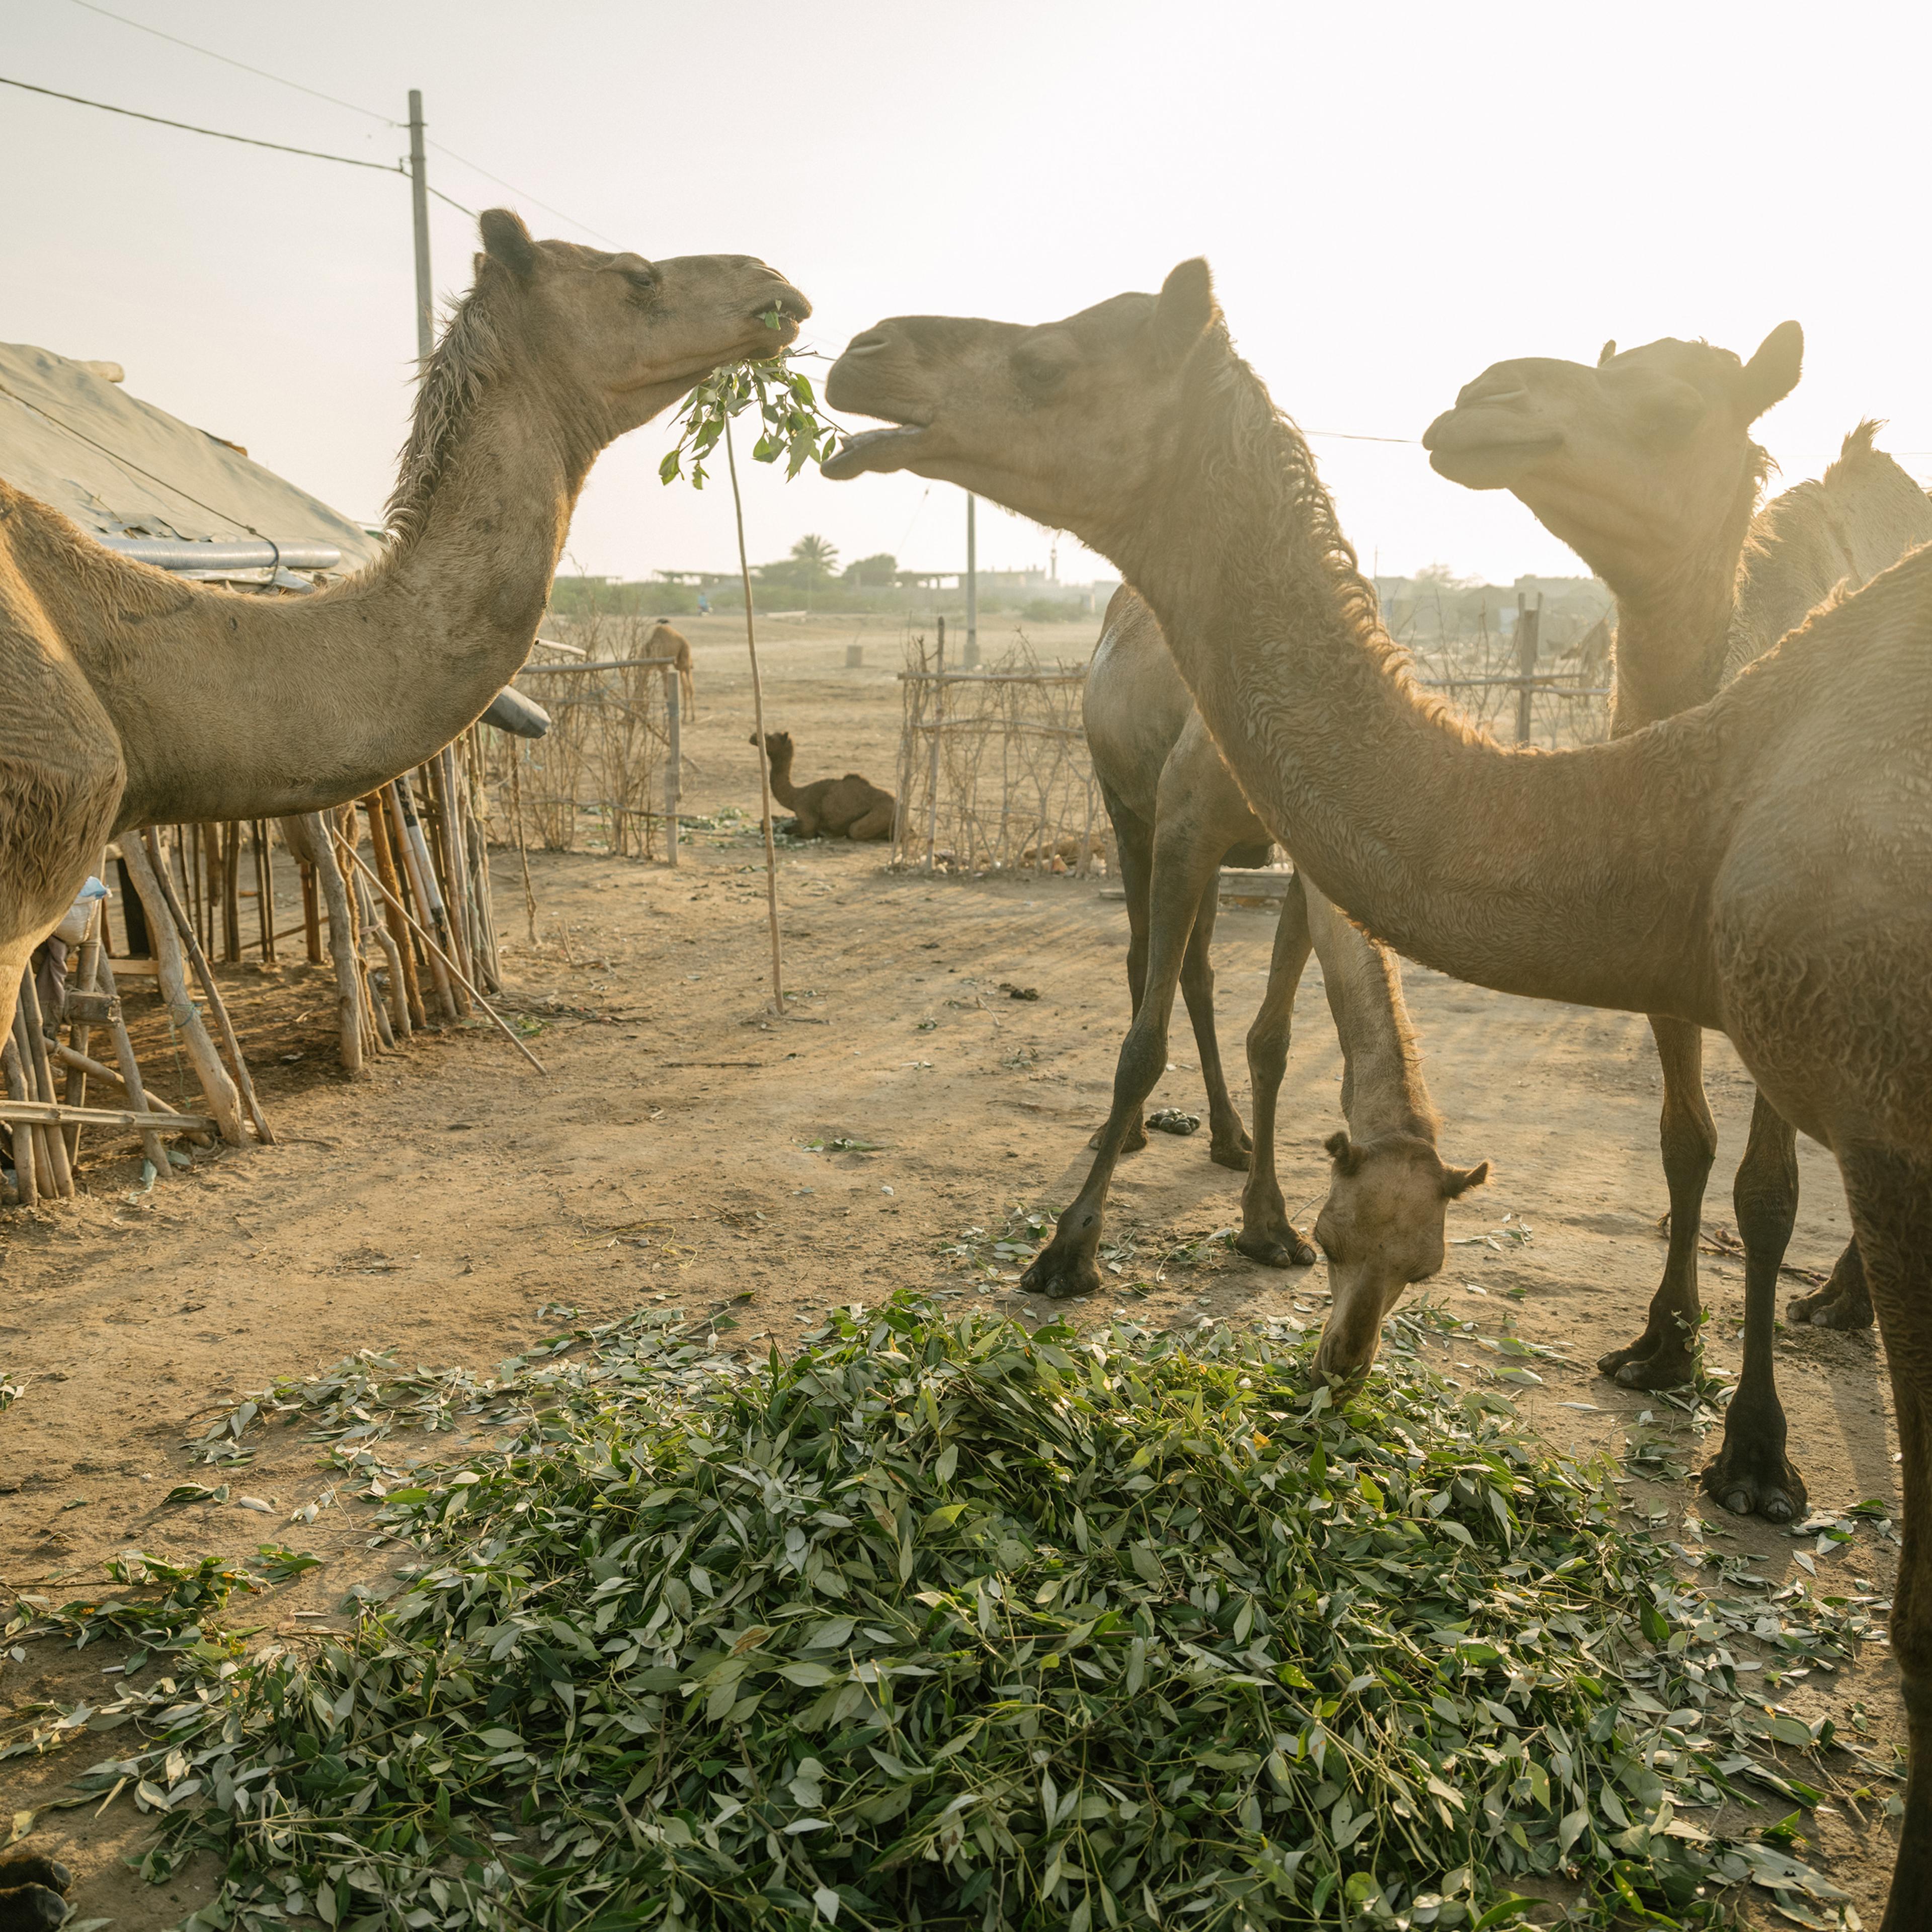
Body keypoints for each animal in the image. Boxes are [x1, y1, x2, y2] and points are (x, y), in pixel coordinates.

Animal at [749, 730, 895, 839]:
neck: (797, 796)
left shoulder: (807, 816)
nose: (753, 737)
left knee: (854, 830)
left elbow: (805, 829)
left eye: (770, 737)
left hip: (877, 816)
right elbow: (767, 822)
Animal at [1025, 584, 1490, 1358]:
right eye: (1335, 1241)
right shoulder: (1184, 825)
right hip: (1123, 801)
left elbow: (1272, 1041)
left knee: (1198, 969)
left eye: (1425, 1268)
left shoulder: (1313, 858)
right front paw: (1067, 1254)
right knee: (1144, 953)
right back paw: (1129, 1133)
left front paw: (1267, 1228)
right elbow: (1144, 1046)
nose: (1347, 1361)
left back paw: (1230, 1137)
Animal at [1426, 338, 1932, 1520]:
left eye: (1675, 411)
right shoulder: (1657, 950)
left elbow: (1767, 1192)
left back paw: (1846, 1304)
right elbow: (1681, 1147)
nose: (1483, 397)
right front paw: (1660, 1345)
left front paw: (1756, 1453)